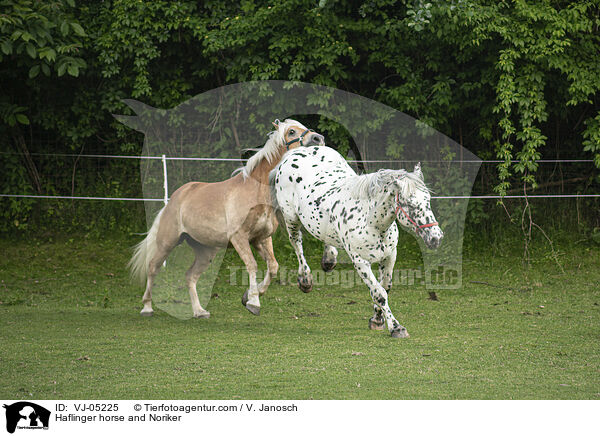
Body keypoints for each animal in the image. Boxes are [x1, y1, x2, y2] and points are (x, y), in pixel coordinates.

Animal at [129, 118, 326, 316]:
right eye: (291, 131)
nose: (319, 139)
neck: (256, 192)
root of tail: (173, 200)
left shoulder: (261, 238)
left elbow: (273, 266)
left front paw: (250, 296)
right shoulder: (239, 238)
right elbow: (252, 265)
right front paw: (254, 302)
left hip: (205, 251)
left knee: (190, 276)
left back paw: (199, 311)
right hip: (167, 242)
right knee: (152, 267)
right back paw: (147, 307)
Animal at [270, 145, 442, 338]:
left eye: (427, 200)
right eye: (409, 205)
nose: (436, 238)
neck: (370, 221)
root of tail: (298, 150)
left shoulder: (389, 256)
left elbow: (385, 287)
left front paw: (377, 320)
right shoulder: (360, 262)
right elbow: (379, 293)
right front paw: (396, 327)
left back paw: (329, 260)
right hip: (291, 218)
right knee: (296, 242)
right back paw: (305, 280)